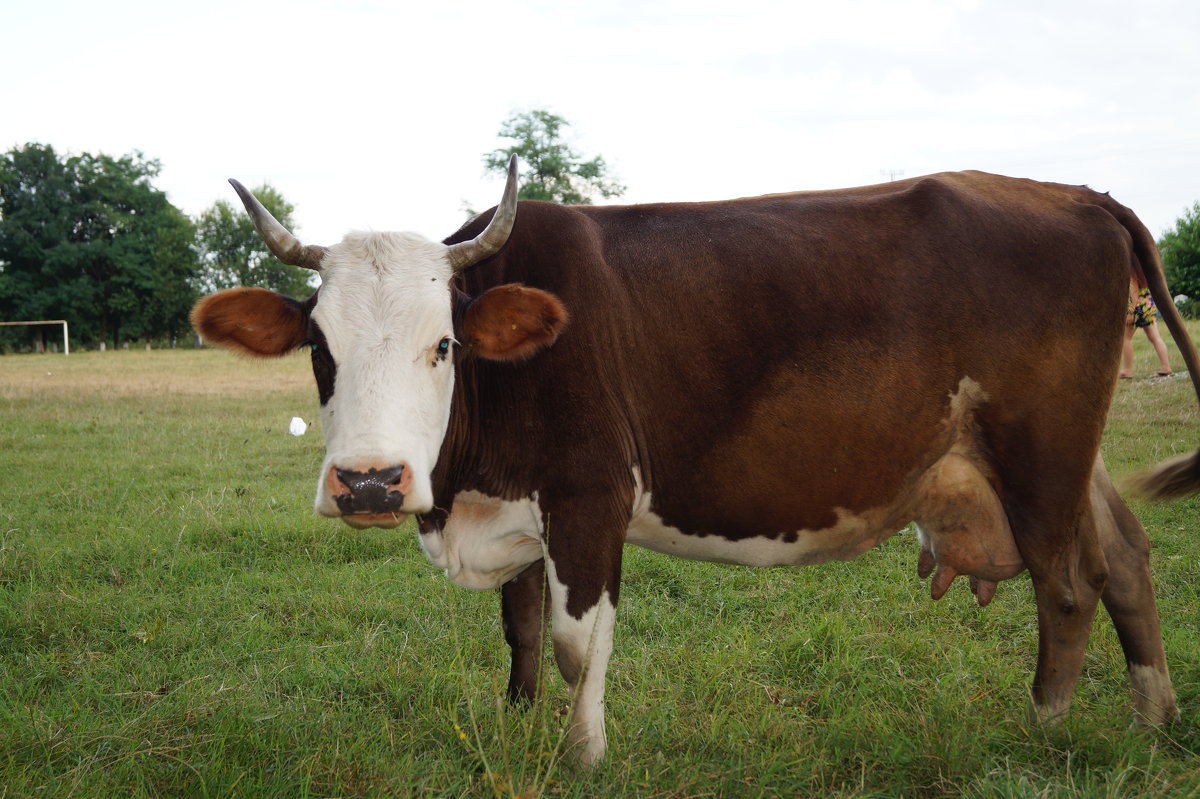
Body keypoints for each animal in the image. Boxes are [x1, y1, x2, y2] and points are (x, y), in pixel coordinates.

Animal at [192, 153, 1195, 758]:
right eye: (319, 346)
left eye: (444, 344)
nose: (369, 481)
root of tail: (1074, 194)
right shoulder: (521, 507)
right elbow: (522, 627)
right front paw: (521, 729)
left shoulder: (590, 495)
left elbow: (576, 640)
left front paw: (583, 756)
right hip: (1061, 457)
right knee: (1125, 557)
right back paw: (1153, 717)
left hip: (1041, 449)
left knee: (1067, 585)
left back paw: (1047, 730)